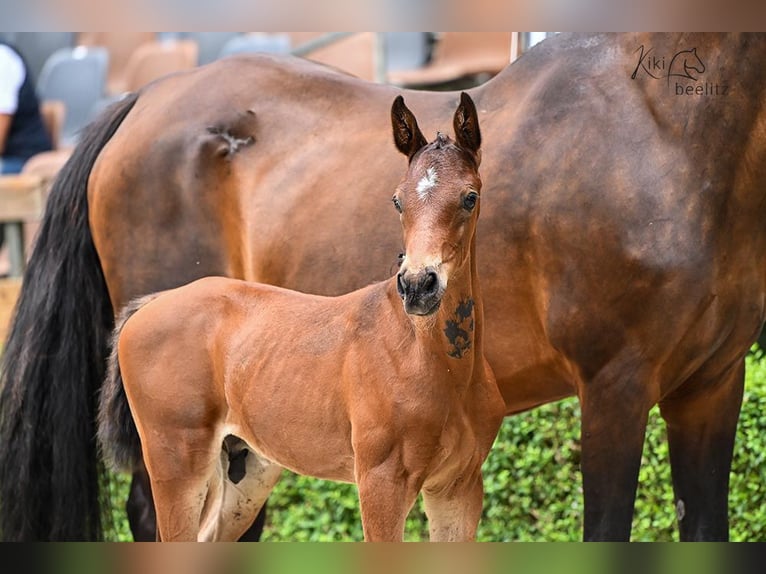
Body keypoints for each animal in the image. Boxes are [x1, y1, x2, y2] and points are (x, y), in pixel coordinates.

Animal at [1, 32, 766, 544]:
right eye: (396, 201)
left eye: (471, 198)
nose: (416, 284)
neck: (661, 128)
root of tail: (141, 101)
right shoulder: (613, 386)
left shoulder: (712, 385)